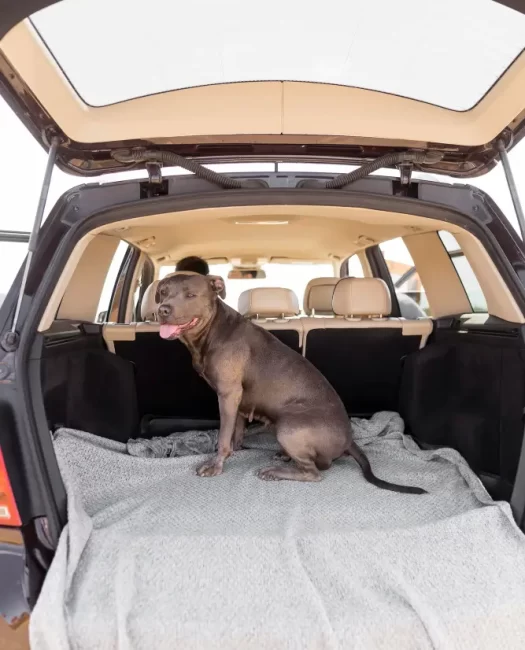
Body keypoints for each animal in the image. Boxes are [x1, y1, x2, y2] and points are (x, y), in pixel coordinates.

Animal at [156, 270, 426, 492]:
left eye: (191, 295)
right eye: (162, 293)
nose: (162, 310)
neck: (211, 330)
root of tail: (349, 440)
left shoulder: (228, 394)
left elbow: (224, 437)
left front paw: (216, 465)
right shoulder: (238, 400)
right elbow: (236, 432)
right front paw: (238, 448)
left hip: (289, 426)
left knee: (315, 473)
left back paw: (275, 472)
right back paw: (283, 457)